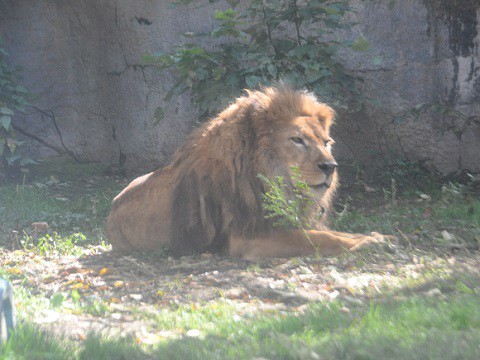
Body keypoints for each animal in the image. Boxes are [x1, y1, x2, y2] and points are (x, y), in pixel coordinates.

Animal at [106, 86, 394, 258]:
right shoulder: (247, 238)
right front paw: (368, 243)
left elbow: (335, 233)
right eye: (297, 140)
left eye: (326, 142)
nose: (329, 167)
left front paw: (379, 236)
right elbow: (316, 239)